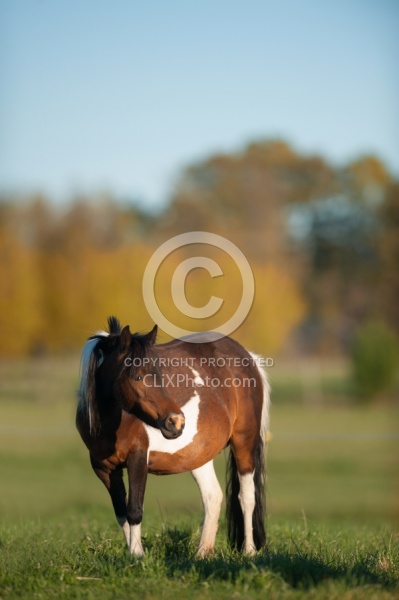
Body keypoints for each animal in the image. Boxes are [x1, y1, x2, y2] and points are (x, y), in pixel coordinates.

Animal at [76, 316, 270, 556]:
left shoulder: (137, 460)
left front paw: (137, 556)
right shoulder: (104, 469)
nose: (176, 422)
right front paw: (132, 553)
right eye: (137, 376)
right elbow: (122, 514)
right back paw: (202, 553)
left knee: (246, 497)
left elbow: (134, 510)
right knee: (212, 496)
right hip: (198, 455)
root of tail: (248, 357)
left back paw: (249, 551)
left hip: (244, 442)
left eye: (160, 374)